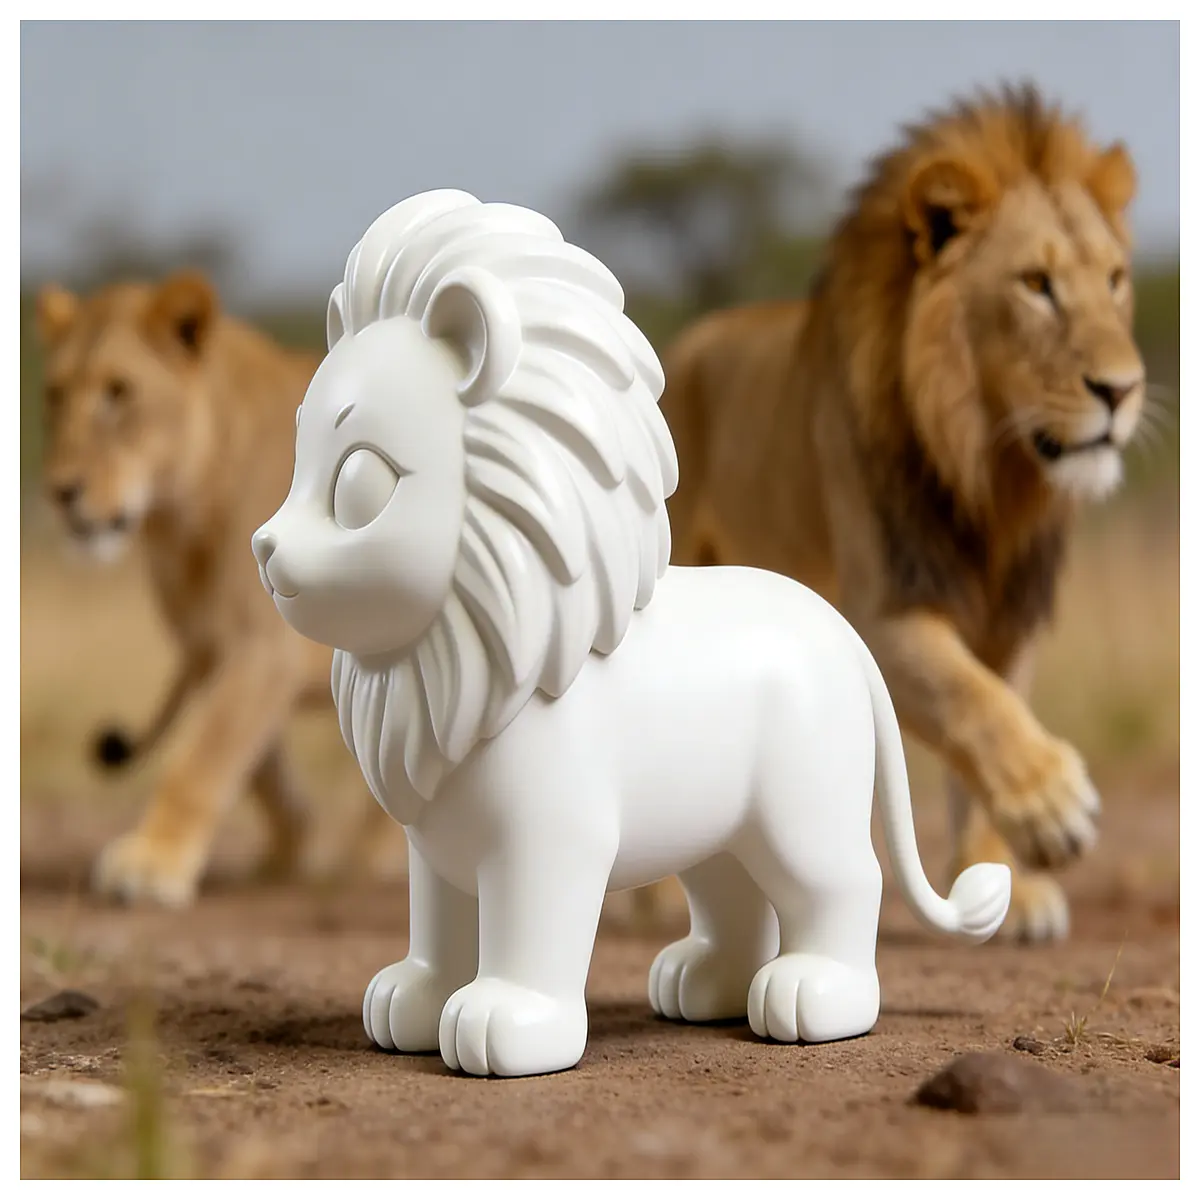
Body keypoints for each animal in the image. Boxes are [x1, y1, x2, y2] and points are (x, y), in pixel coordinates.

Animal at [34, 270, 398, 905]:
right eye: (54, 395)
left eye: (118, 392)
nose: (61, 492)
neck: (179, 523)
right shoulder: (210, 652)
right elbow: (258, 770)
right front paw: (288, 852)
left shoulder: (263, 648)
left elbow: (201, 760)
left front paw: (151, 863)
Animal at [646, 84, 1146, 942]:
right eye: (1036, 284)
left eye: (1114, 279)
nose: (1123, 390)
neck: (993, 473)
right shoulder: (883, 609)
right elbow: (971, 699)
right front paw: (1055, 808)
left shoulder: (1009, 615)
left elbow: (994, 706)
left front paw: (1006, 886)